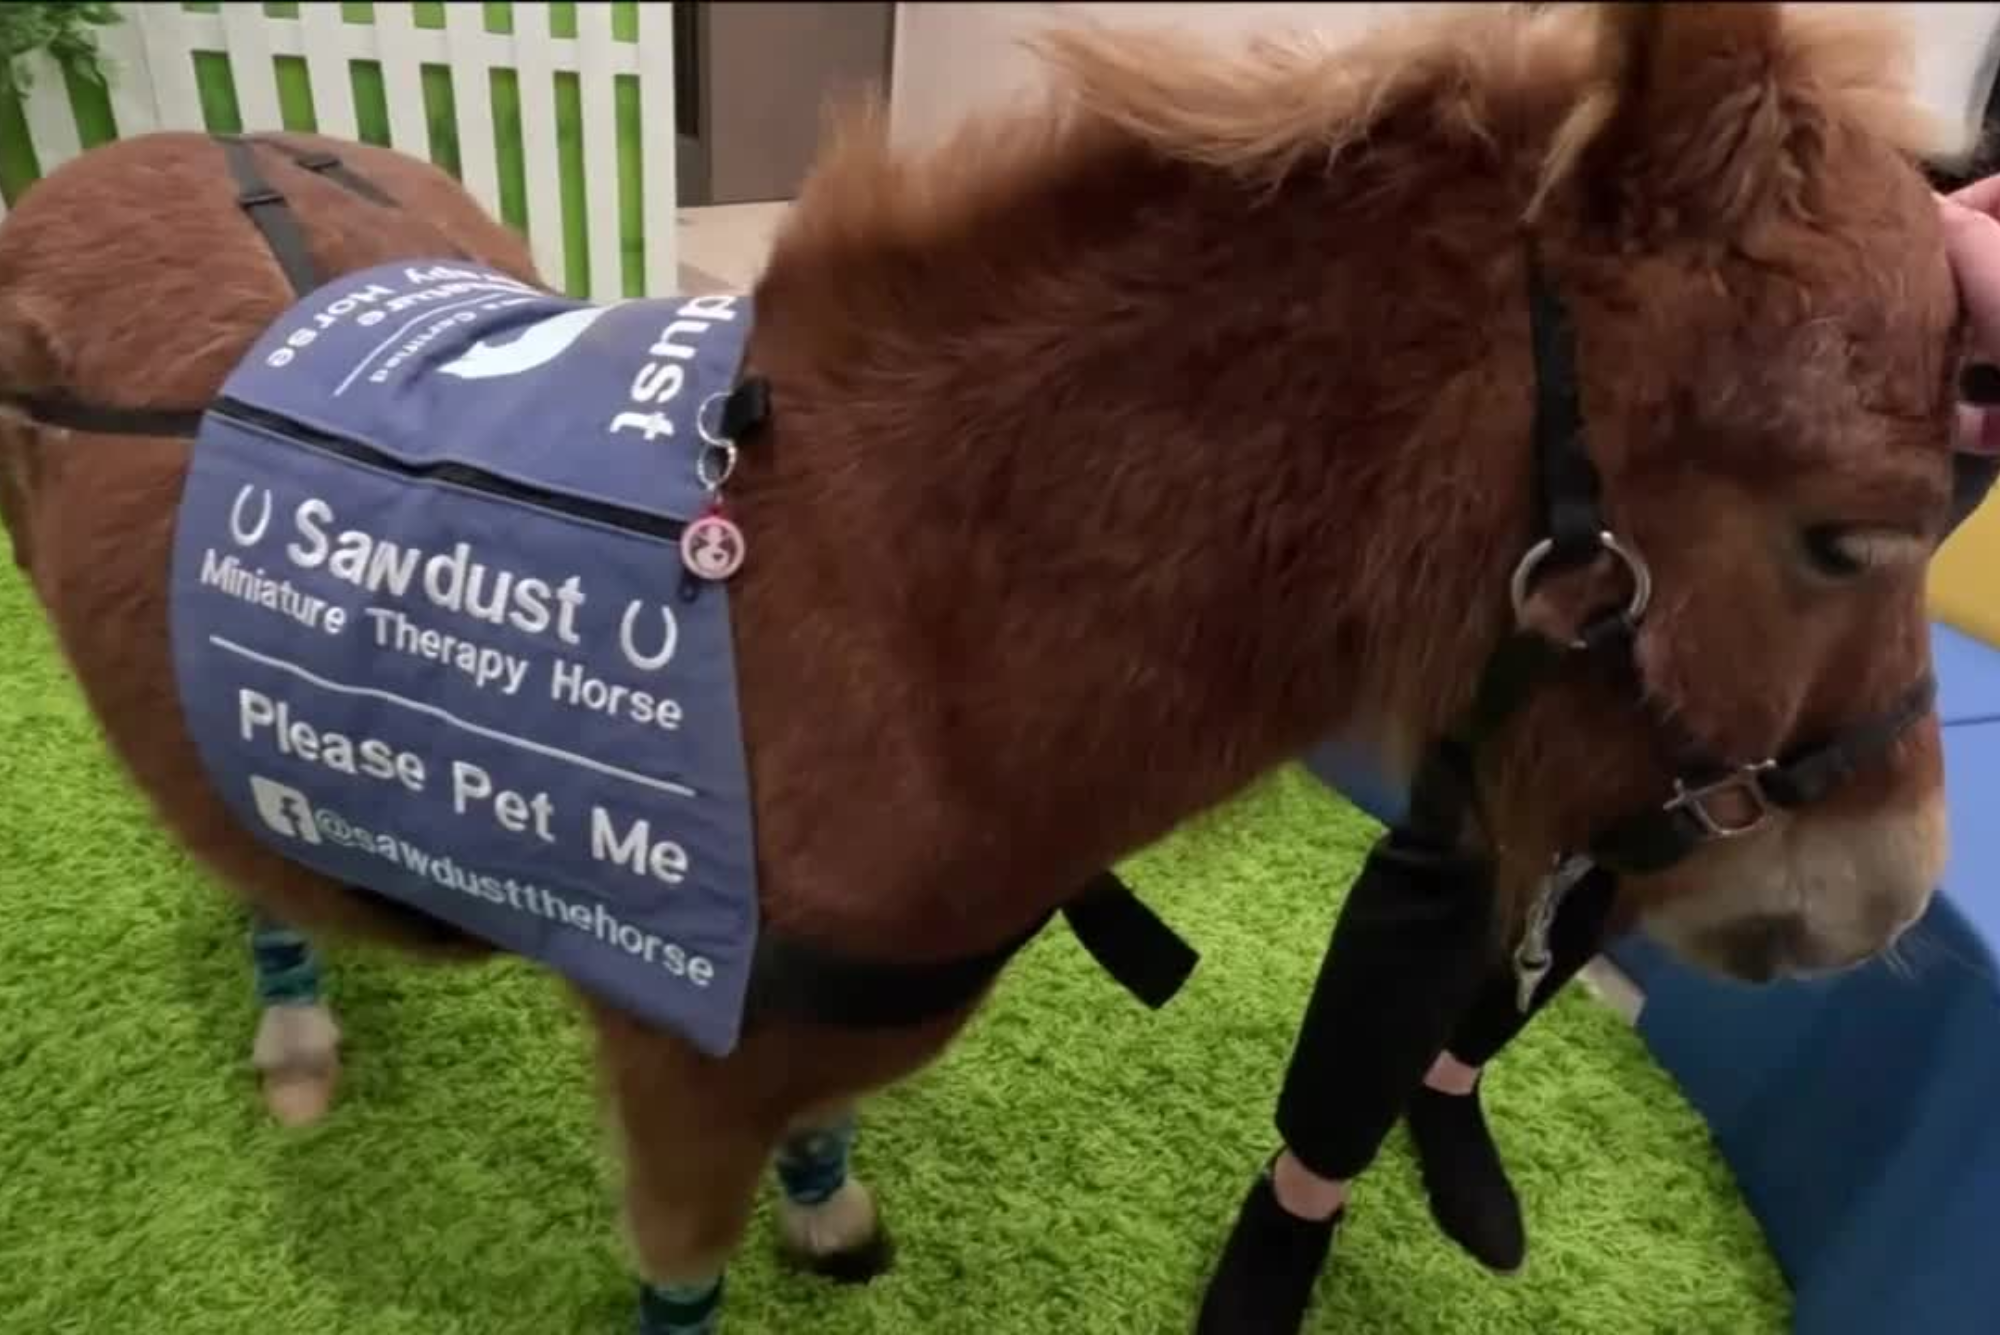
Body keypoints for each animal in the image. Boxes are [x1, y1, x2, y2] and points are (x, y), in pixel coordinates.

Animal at [0, 2, 1980, 1329]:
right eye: (1841, 534)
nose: (1885, 903)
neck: (873, 608)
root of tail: (160, 143)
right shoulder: (676, 1095)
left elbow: (825, 1132)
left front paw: (832, 1209)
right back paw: (295, 1017)